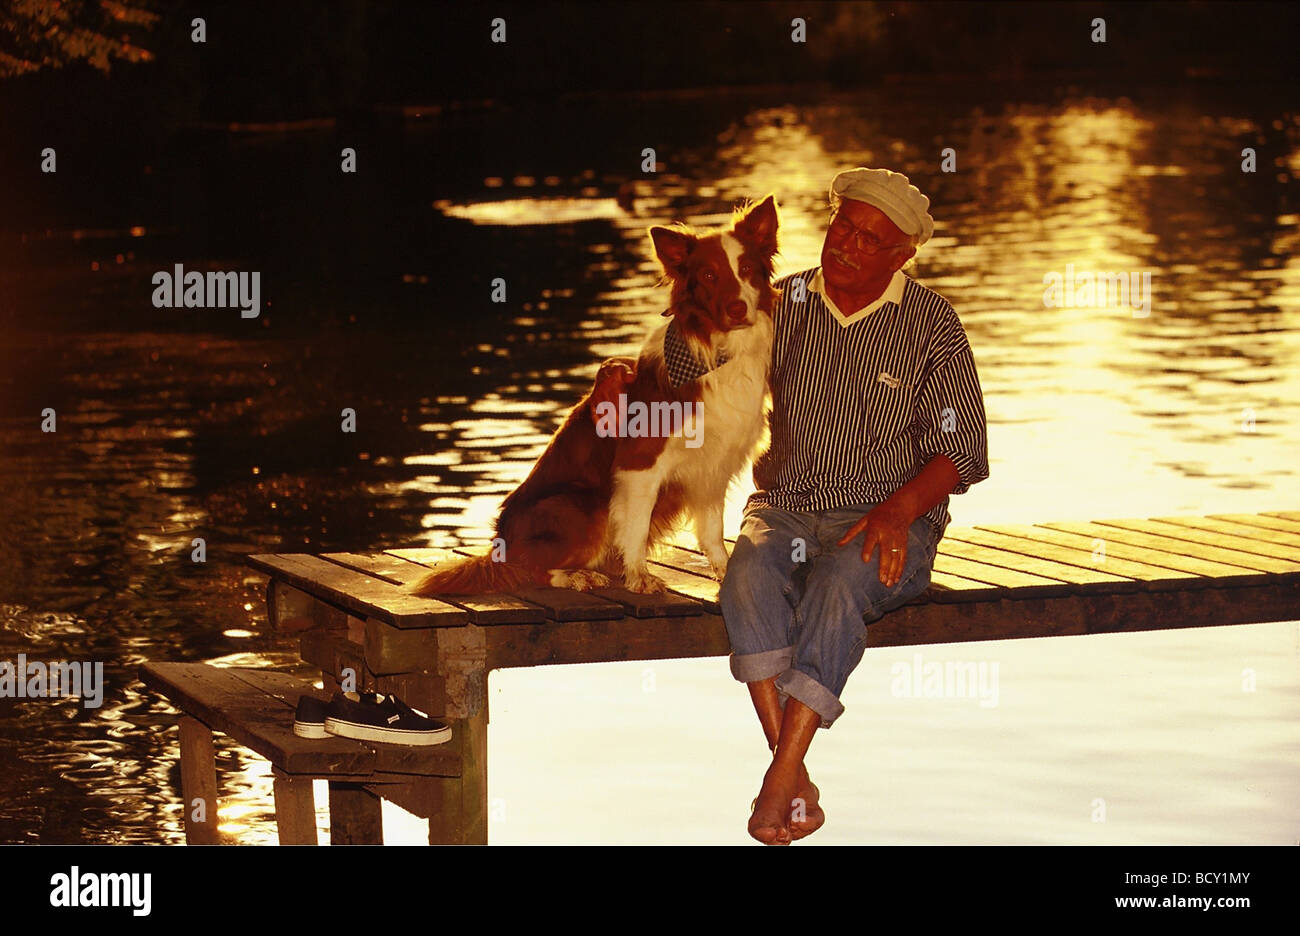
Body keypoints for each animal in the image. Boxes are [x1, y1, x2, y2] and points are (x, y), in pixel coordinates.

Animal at [405, 193, 774, 595]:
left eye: (747, 268)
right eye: (709, 275)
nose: (738, 309)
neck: (718, 352)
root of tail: (500, 547)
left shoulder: (712, 465)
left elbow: (712, 529)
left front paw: (726, 572)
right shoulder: (639, 465)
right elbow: (636, 527)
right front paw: (639, 576)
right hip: (581, 504)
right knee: (532, 568)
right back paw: (578, 575)